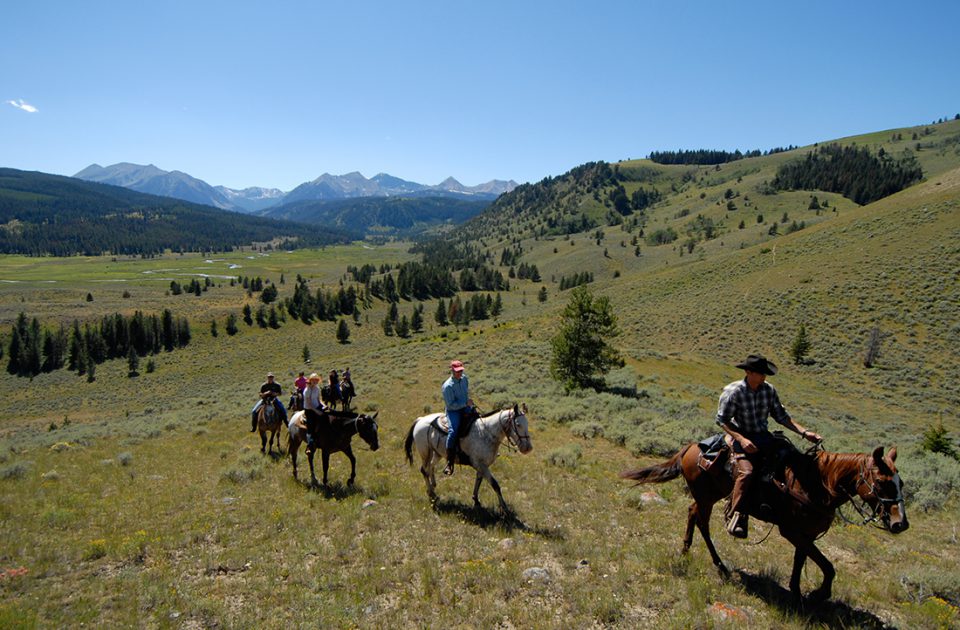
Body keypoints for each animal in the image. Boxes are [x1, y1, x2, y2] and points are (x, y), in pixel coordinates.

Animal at [624, 442, 908, 604]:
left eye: (901, 483)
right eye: (881, 482)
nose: (900, 524)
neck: (817, 484)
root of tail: (692, 447)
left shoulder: (805, 534)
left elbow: (802, 561)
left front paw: (796, 592)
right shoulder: (791, 531)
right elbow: (827, 566)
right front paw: (818, 594)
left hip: (709, 495)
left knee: (693, 513)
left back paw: (687, 551)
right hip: (706, 495)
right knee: (702, 521)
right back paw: (718, 564)